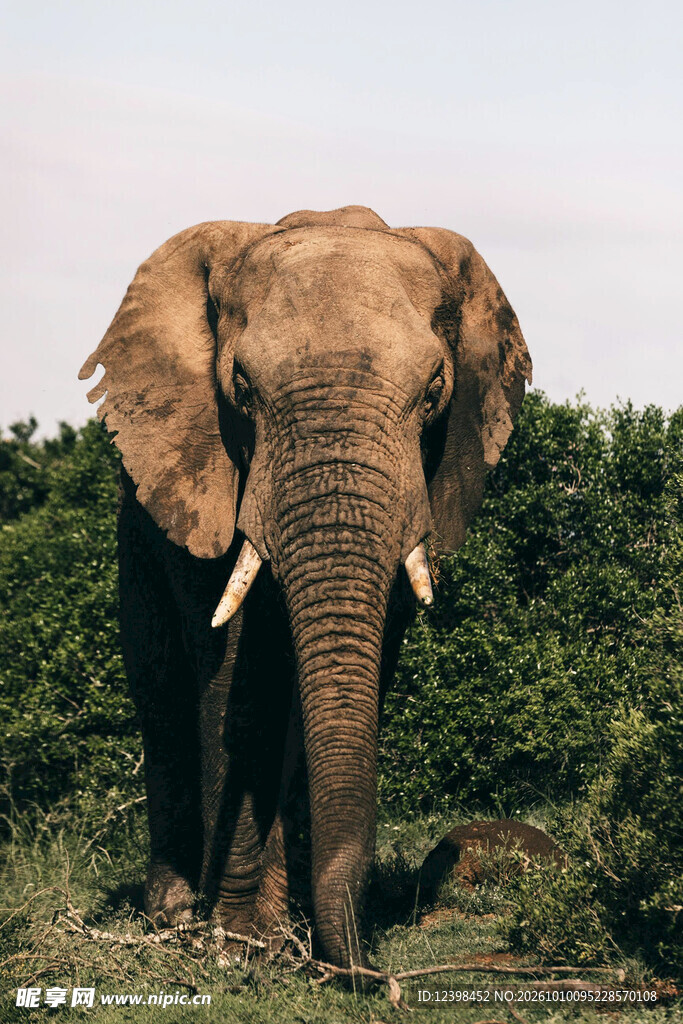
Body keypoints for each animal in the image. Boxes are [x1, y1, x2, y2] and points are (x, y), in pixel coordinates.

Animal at [79, 204, 531, 969]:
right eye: (241, 388)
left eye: (434, 392)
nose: (362, 972)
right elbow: (240, 681)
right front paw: (239, 942)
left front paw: (281, 934)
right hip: (136, 529)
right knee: (161, 689)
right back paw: (173, 913)